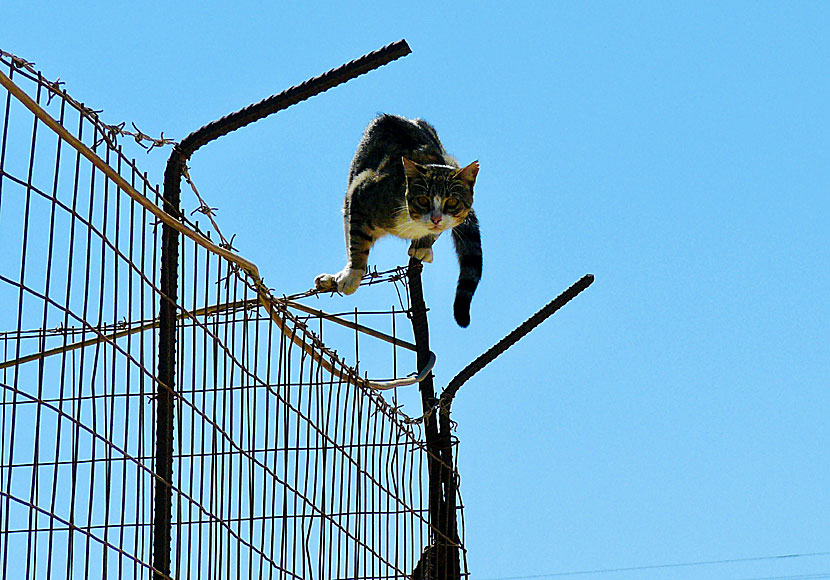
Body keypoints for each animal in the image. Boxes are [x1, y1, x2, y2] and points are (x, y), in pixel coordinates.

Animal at [316, 114, 484, 326]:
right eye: (423, 200)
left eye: (452, 201)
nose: (436, 218)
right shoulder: (361, 193)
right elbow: (357, 240)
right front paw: (353, 273)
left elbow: (435, 233)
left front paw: (423, 246)